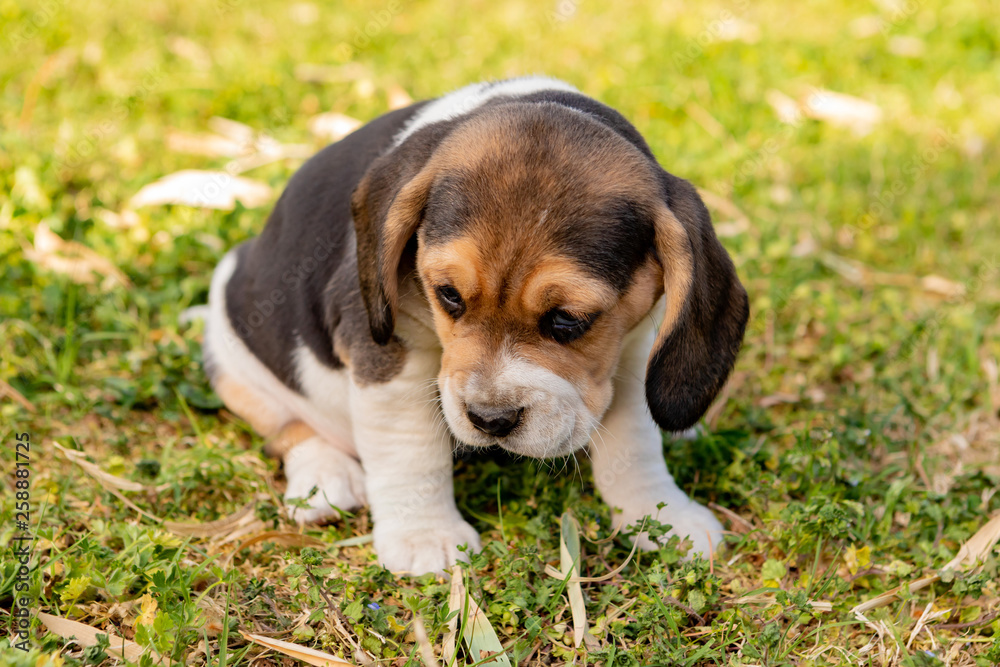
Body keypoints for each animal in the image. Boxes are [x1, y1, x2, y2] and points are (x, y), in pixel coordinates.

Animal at [205, 77, 752, 576]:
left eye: (567, 320)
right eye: (448, 294)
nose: (490, 421)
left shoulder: (628, 352)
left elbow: (634, 444)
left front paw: (661, 518)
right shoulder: (387, 355)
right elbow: (409, 448)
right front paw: (426, 537)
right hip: (232, 353)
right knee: (287, 426)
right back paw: (325, 478)